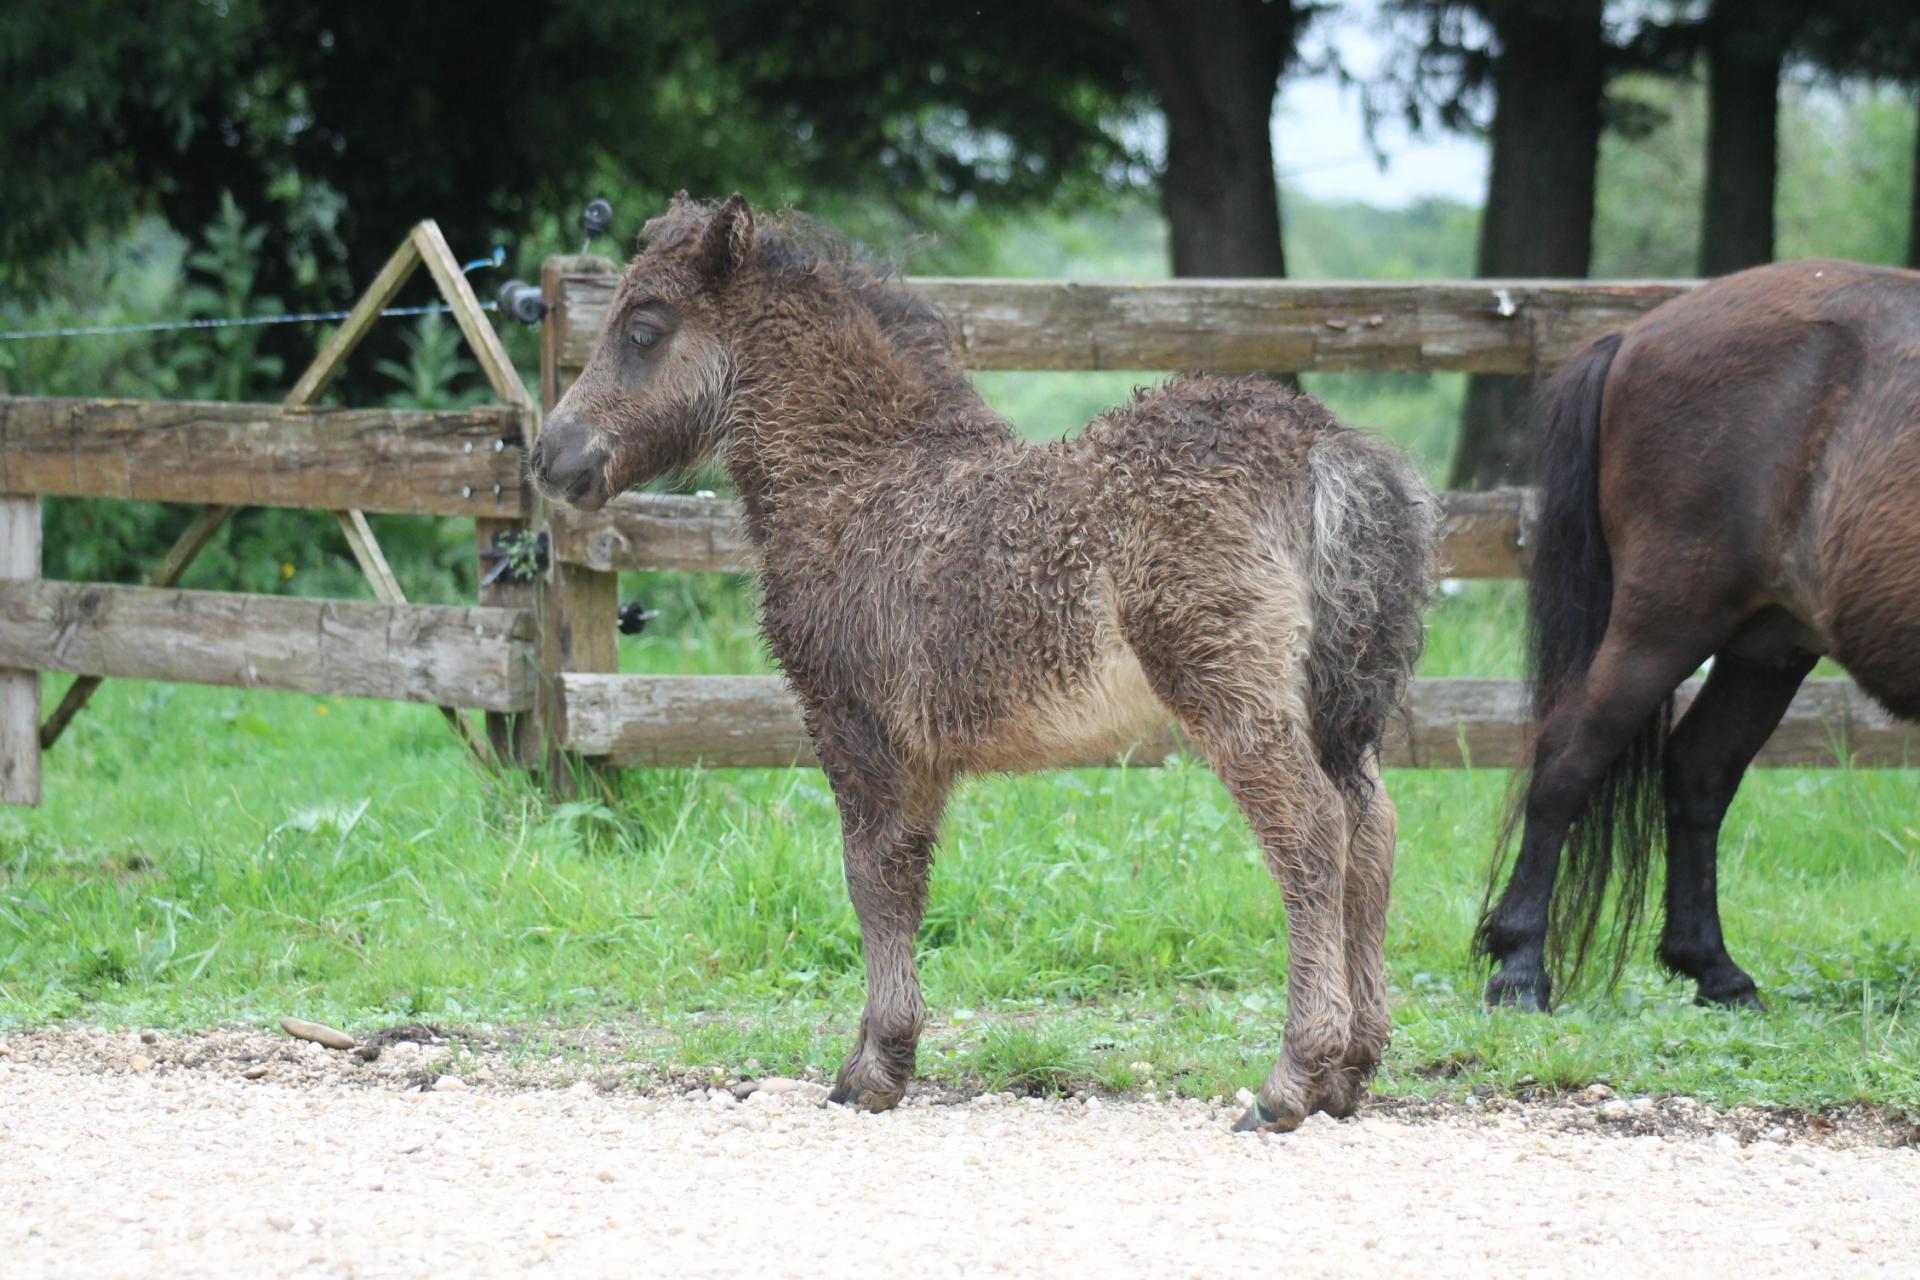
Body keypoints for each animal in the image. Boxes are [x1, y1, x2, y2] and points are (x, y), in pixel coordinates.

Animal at [533, 195, 1436, 1136]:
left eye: (644, 330)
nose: (551, 457)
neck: (856, 478)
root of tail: (1325, 447)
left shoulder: (855, 722)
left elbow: (872, 875)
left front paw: (873, 1070)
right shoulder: (922, 752)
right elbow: (907, 873)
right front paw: (886, 1054)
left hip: (1232, 688)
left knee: (1311, 830)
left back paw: (1293, 1077)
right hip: (1338, 707)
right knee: (1371, 829)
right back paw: (1352, 1070)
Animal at [1482, 255, 1920, 1005]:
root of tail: (1633, 337)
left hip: (1768, 647)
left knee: (1699, 770)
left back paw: (1713, 967)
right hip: (1663, 622)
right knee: (1569, 758)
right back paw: (1520, 966)